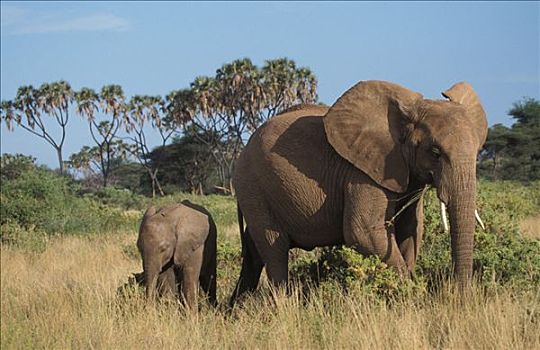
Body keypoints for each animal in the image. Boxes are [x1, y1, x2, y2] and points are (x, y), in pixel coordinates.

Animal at [229, 79, 490, 304]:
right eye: (435, 152)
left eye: (478, 151)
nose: (460, 298)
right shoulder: (361, 173)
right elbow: (363, 232)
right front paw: (413, 299)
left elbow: (411, 230)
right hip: (253, 186)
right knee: (274, 248)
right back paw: (282, 309)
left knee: (253, 254)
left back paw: (235, 310)